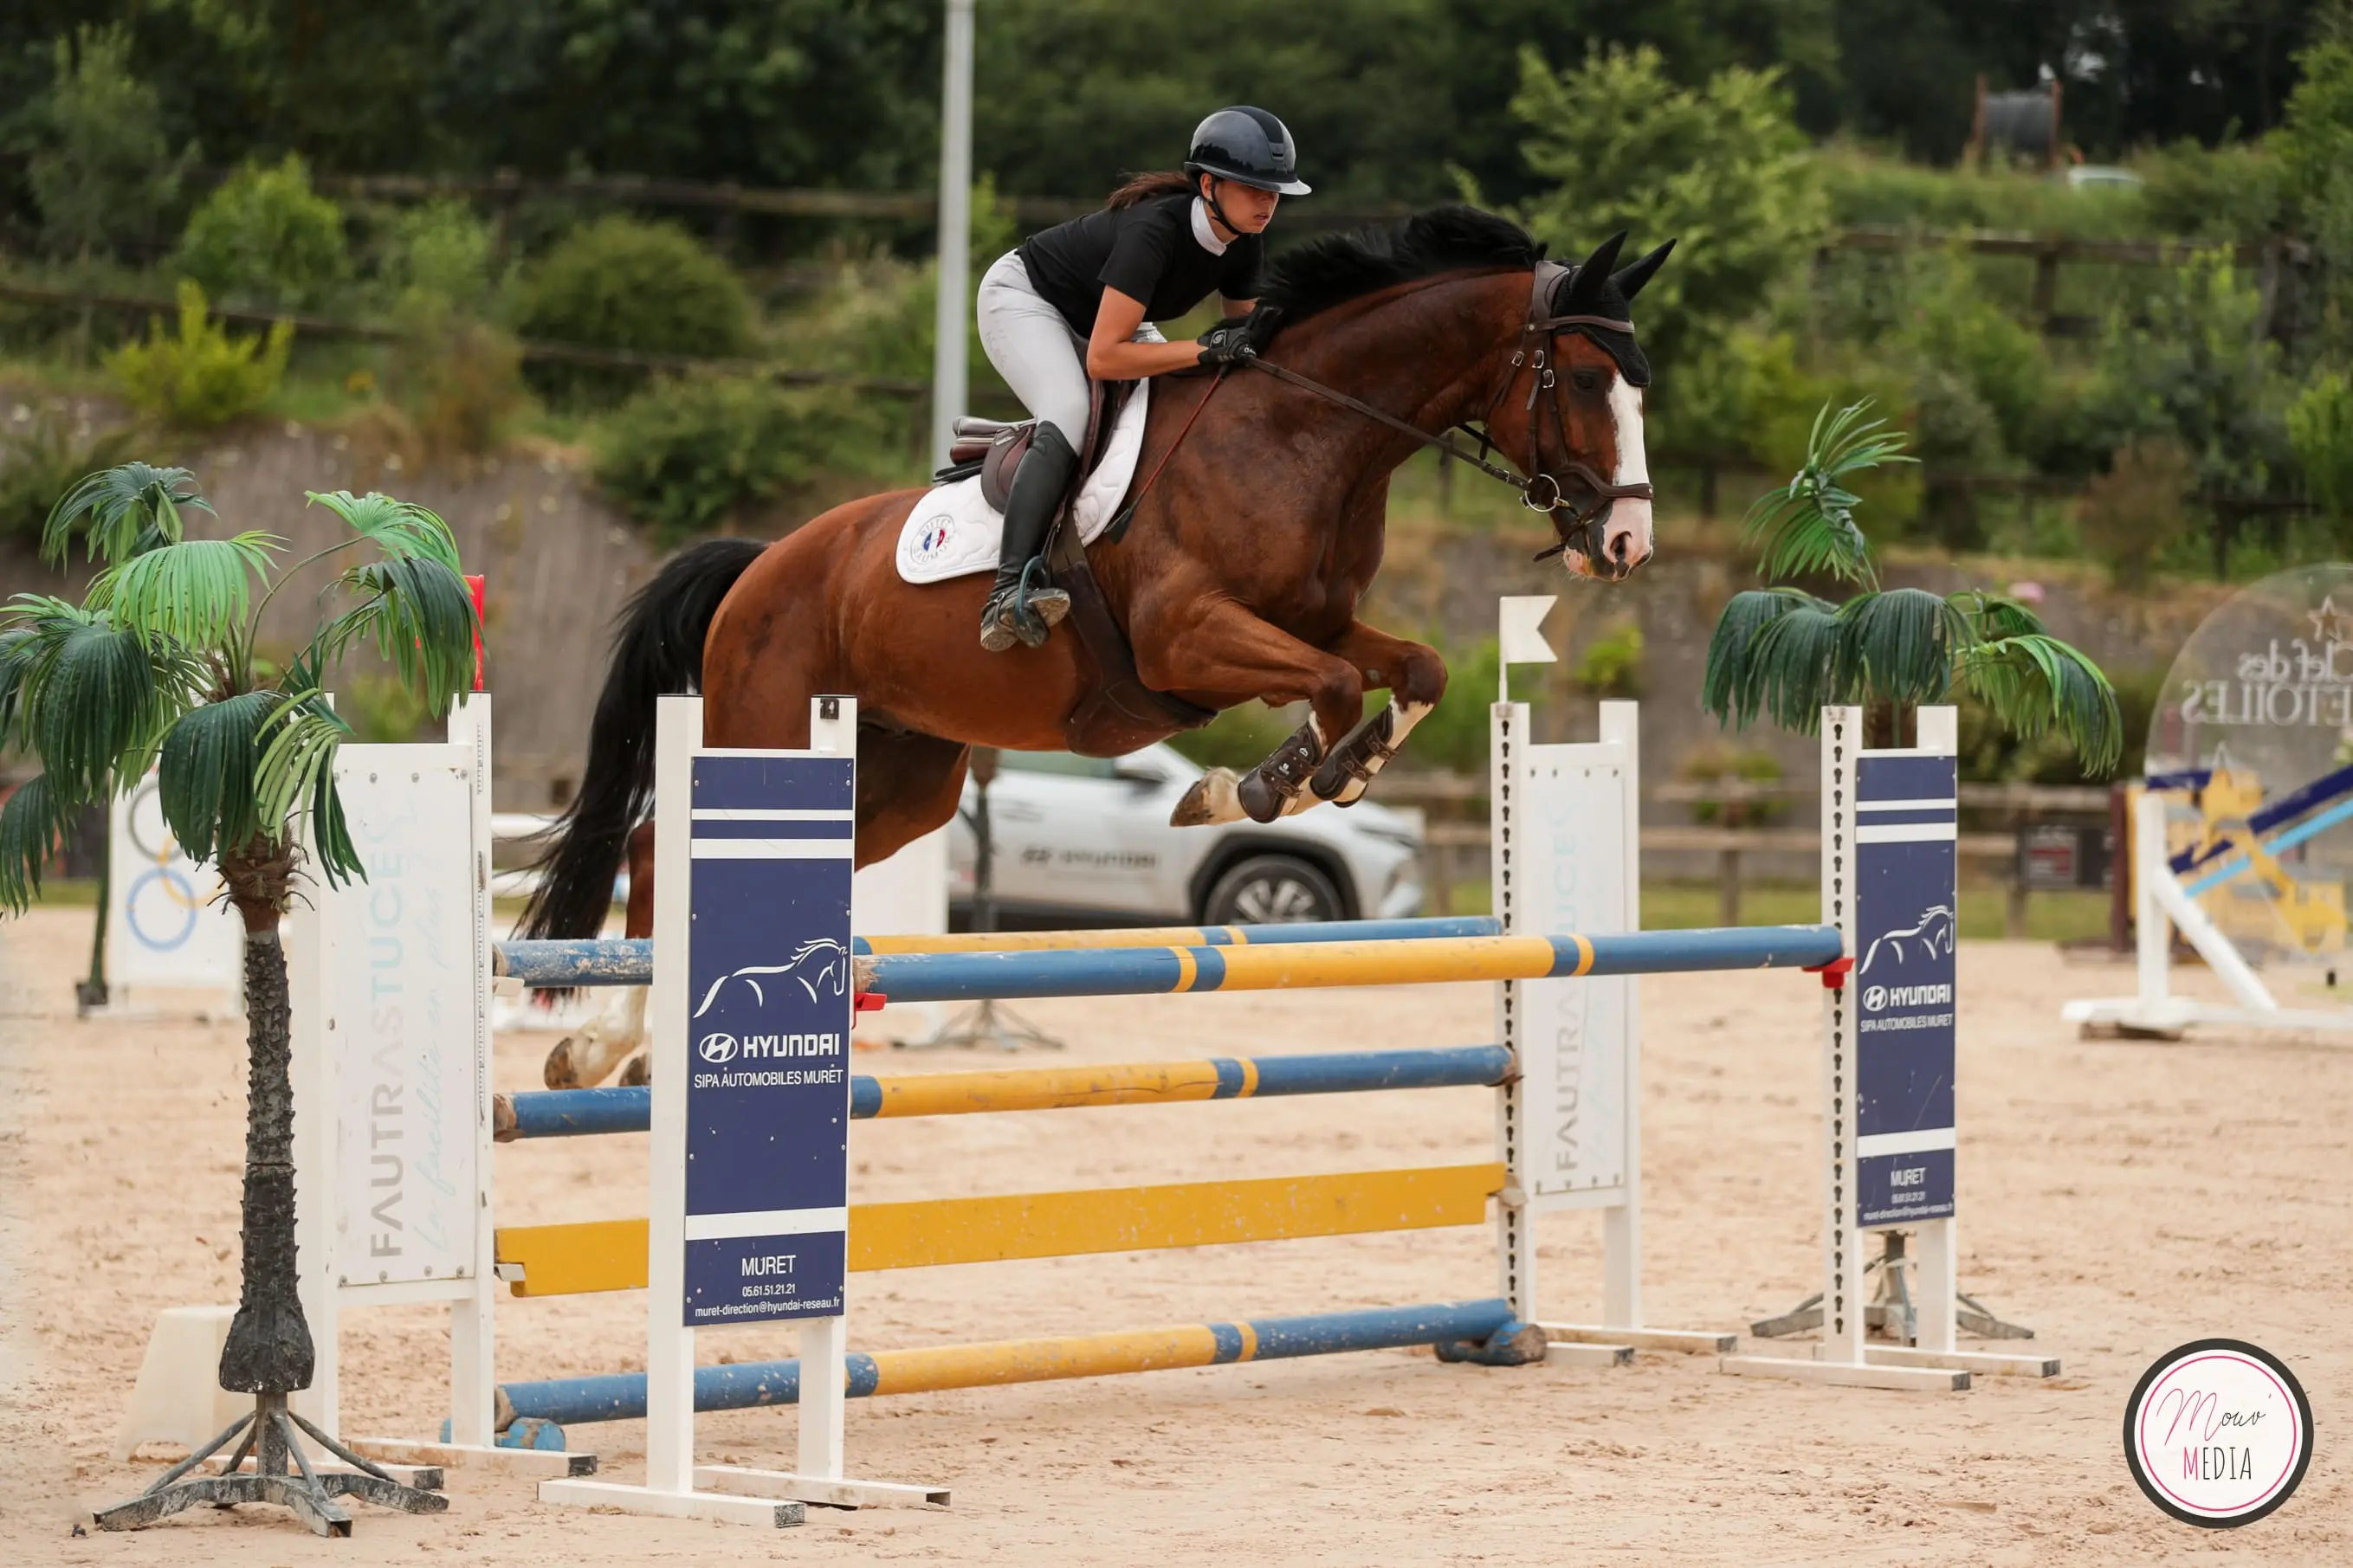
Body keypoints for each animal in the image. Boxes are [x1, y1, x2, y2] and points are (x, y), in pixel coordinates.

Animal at [522, 206, 1673, 1088]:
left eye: (1639, 384)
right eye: (1581, 379)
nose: (1625, 543)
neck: (1306, 435)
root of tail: (761, 564)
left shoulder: (1312, 619)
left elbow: (1410, 669)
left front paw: (1323, 777)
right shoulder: (1185, 640)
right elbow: (1336, 686)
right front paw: (1253, 786)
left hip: (899, 775)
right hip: (766, 726)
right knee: (651, 845)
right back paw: (601, 1049)